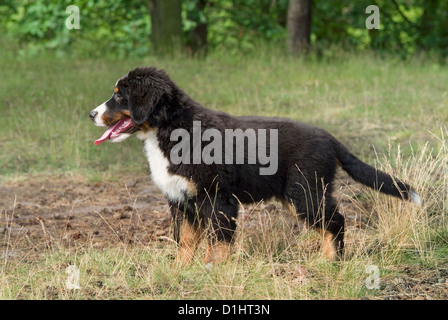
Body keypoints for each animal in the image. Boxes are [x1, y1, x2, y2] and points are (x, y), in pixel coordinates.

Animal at [90, 66, 420, 264]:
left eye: (119, 95)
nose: (91, 114)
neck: (171, 129)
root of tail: (329, 137)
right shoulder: (180, 199)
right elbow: (185, 240)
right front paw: (182, 270)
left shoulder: (217, 197)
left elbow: (218, 240)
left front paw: (214, 268)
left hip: (306, 192)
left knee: (336, 221)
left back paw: (330, 260)